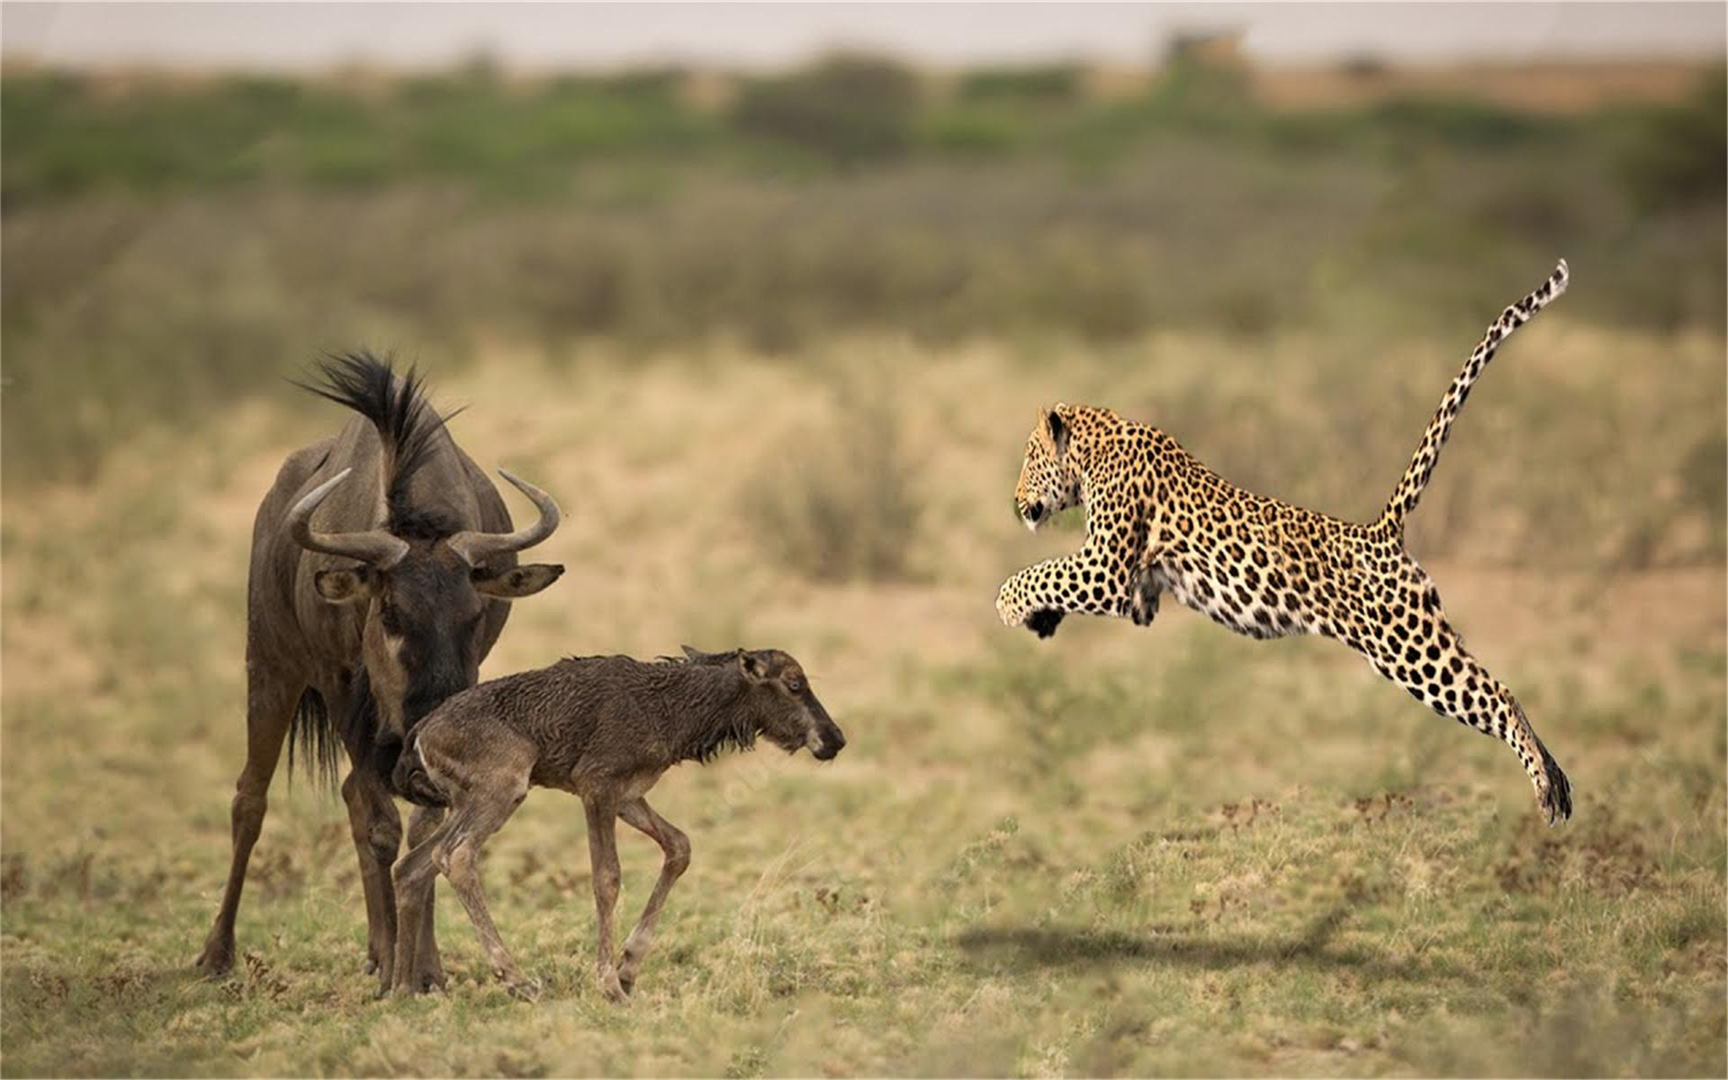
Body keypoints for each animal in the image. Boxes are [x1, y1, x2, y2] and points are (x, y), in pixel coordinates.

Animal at [393, 642, 850, 995]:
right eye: (794, 683)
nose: (835, 739)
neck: (671, 710)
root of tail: (419, 735)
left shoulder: (629, 796)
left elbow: (679, 846)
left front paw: (629, 966)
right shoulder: (596, 785)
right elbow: (607, 877)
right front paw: (608, 981)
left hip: (465, 801)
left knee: (410, 866)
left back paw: (401, 987)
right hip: (503, 788)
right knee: (455, 856)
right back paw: (516, 979)